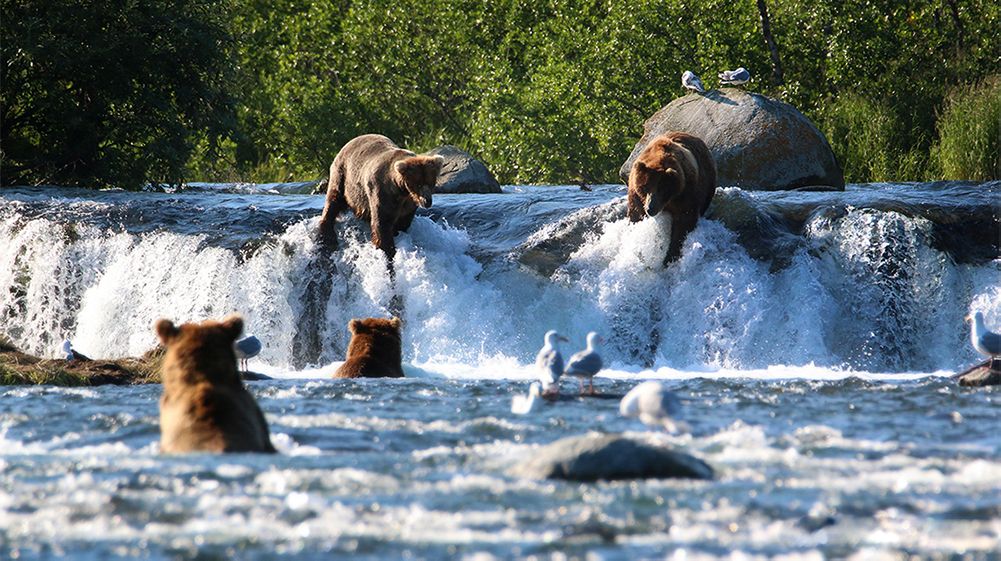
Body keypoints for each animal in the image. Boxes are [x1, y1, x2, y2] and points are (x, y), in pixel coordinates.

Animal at [628, 130, 716, 264]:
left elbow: (684, 222)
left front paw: (670, 256)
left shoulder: (686, 192)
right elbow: (636, 215)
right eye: (645, 187)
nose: (650, 208)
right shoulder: (636, 194)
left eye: (662, 189)